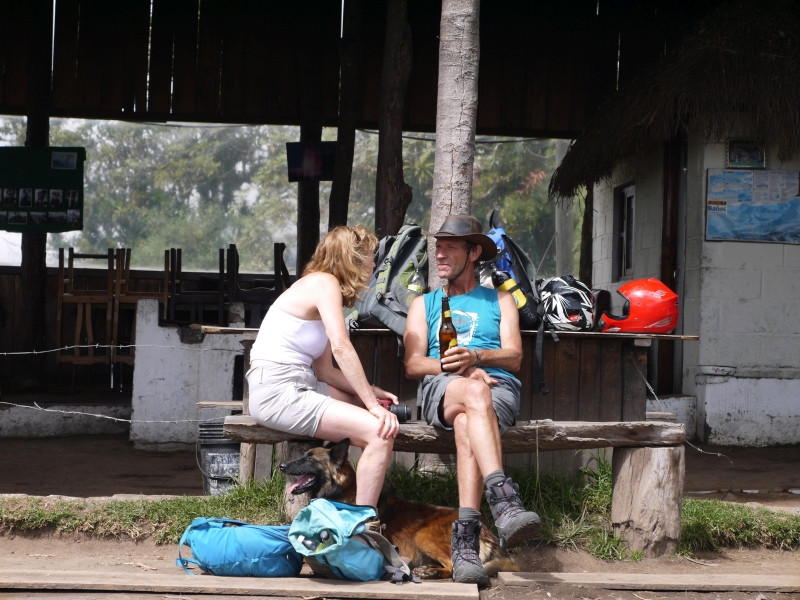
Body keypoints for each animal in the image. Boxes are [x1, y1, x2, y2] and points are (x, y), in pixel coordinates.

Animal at [280, 438, 520, 580]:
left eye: (309, 458)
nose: (281, 465)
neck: (339, 491)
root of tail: (485, 530)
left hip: (423, 536)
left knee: (453, 566)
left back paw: (430, 572)